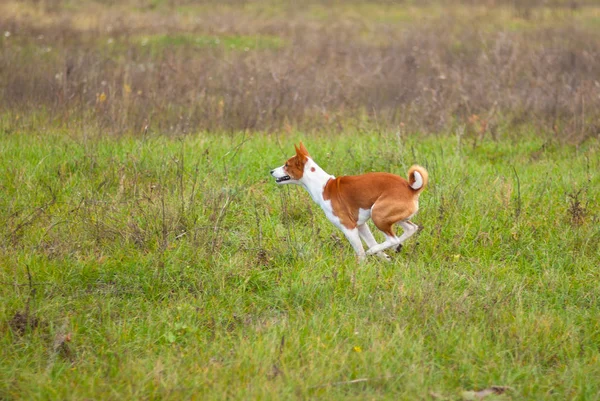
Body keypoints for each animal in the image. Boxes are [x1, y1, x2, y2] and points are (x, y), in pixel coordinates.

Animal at [270, 142, 428, 260]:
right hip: (391, 217)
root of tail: (410, 188)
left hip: (378, 214)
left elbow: (361, 252)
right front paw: (385, 259)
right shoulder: (361, 225)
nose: (271, 171)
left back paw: (385, 248)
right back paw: (394, 247)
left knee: (393, 238)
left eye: (286, 165)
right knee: (410, 229)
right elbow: (371, 242)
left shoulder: (349, 227)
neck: (323, 186)